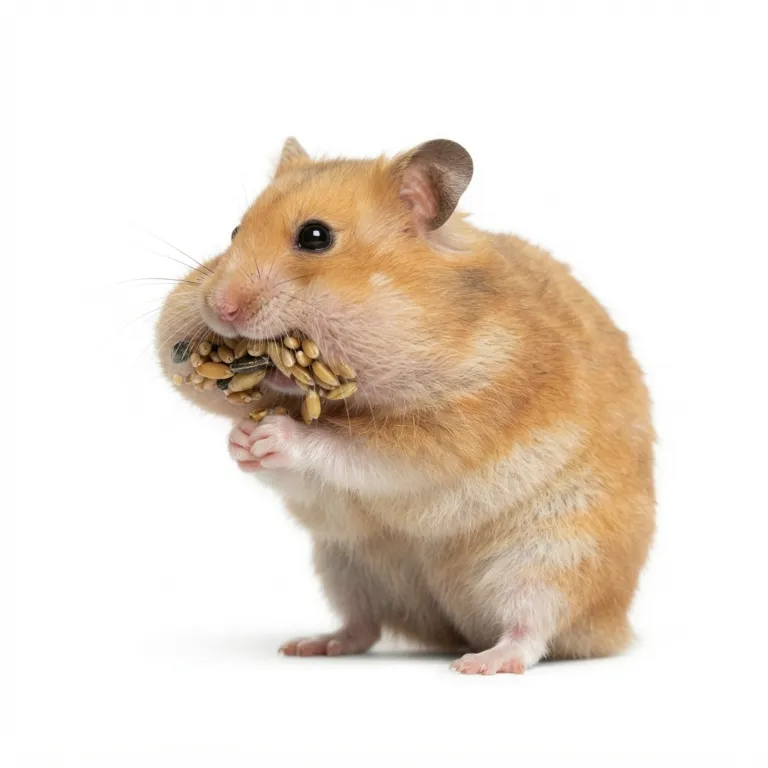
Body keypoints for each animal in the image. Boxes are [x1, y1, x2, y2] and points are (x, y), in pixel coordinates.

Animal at [155, 137, 655, 674]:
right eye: (234, 230)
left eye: (315, 236)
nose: (219, 308)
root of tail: (455, 628)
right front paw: (241, 440)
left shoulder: (454, 427)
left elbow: (355, 450)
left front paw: (272, 434)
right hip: (345, 565)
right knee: (364, 625)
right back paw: (311, 645)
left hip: (553, 560)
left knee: (533, 630)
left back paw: (480, 663)